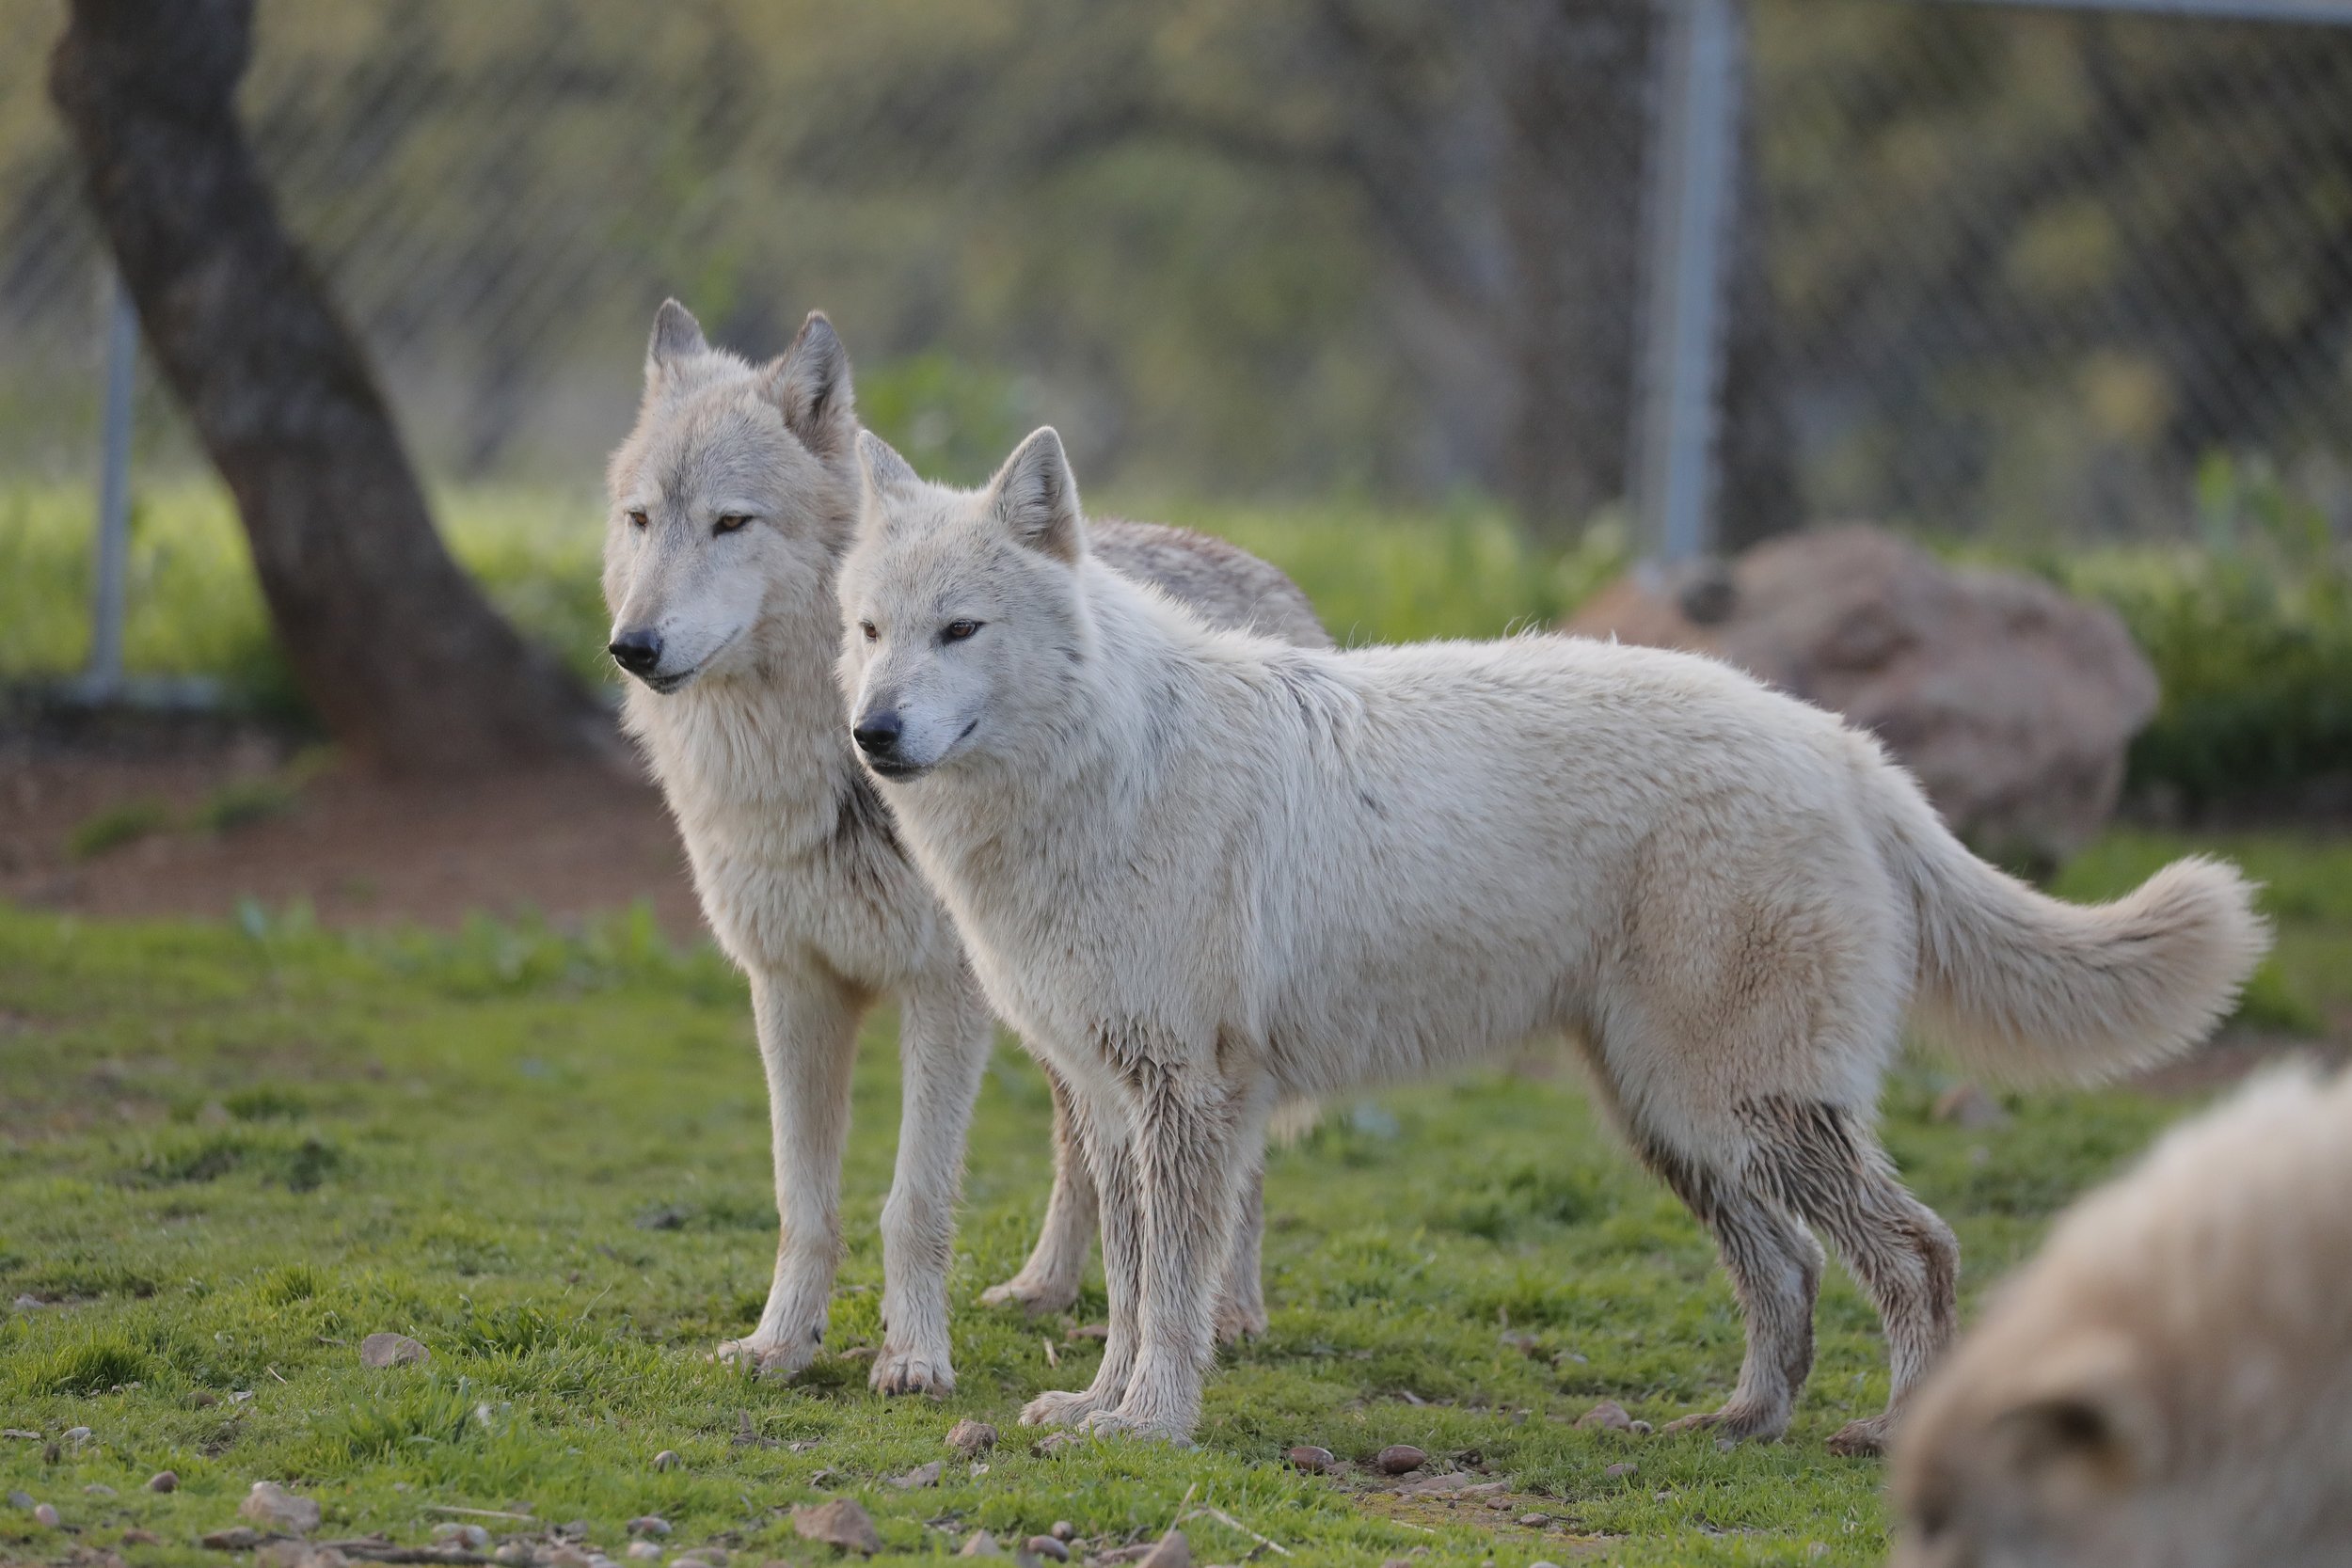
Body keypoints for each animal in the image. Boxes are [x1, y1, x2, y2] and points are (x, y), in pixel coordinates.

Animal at [602, 304, 1327, 1394]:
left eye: (732, 523)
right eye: (642, 519)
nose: (631, 644)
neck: (814, 767)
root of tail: (1270, 573)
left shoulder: (941, 993)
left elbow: (913, 1203)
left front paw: (911, 1357)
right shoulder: (790, 987)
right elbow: (801, 1200)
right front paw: (780, 1343)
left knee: (1226, 1169)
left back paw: (1229, 1311)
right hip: (1057, 1002)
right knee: (1084, 1148)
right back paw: (1046, 1288)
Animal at [836, 424, 2267, 1447]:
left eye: (960, 628)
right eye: (868, 630)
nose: (872, 731)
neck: (1104, 763)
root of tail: (1840, 746)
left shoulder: (1184, 1098)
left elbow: (1175, 1300)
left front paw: (1149, 1426)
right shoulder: (1114, 1098)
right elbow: (1131, 1289)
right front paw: (1097, 1407)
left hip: (1742, 1106)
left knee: (1916, 1253)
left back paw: (1891, 1434)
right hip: (1675, 1120)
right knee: (1793, 1269)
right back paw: (1738, 1423)